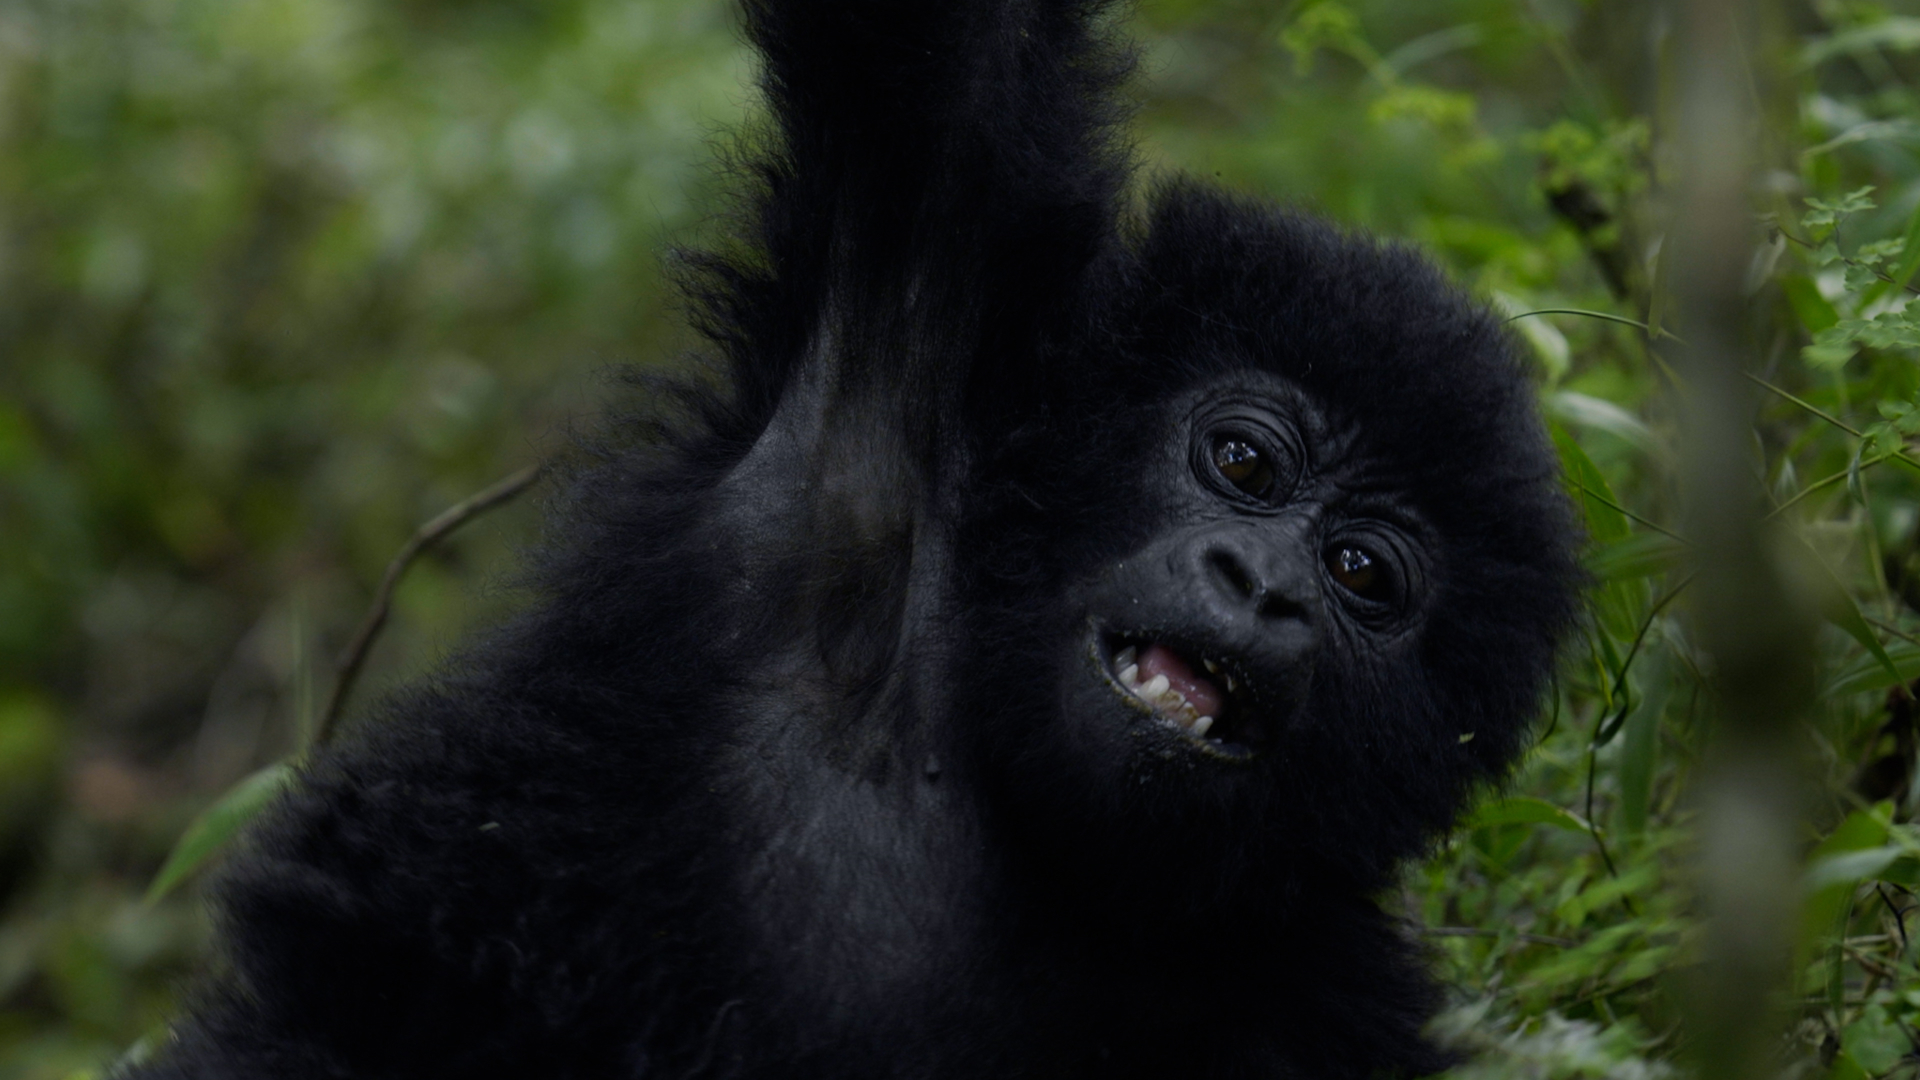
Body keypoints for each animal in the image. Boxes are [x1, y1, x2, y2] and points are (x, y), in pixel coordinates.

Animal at [131, 2, 1574, 1076]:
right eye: (1243, 461)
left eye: (1363, 576)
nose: (1262, 584)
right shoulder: (894, 370)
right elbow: (945, 55)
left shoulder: (1321, 989)